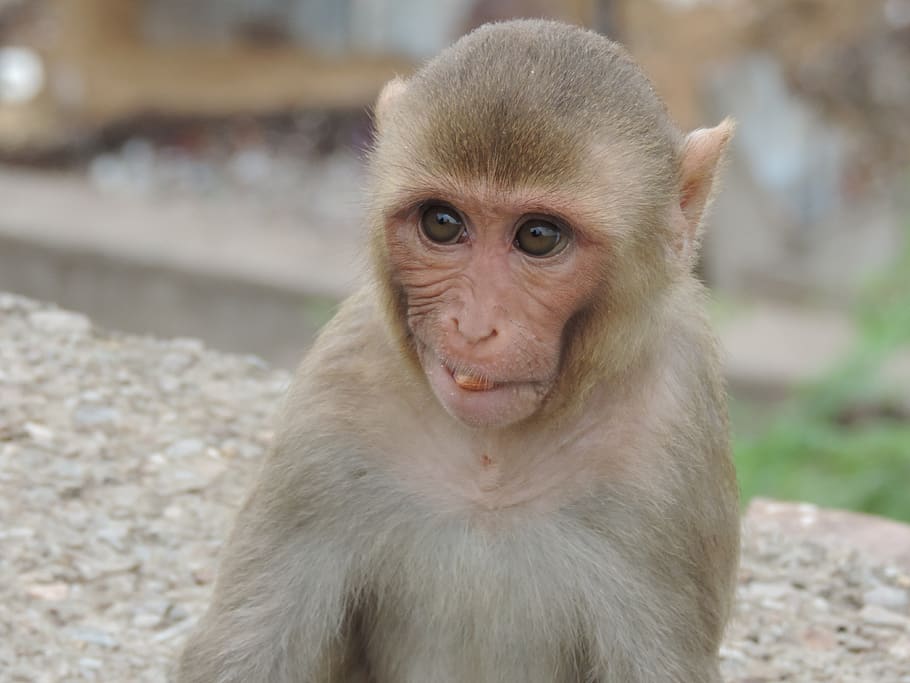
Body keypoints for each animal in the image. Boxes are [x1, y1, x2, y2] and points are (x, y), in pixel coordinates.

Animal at [176, 19, 740, 683]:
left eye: (539, 236)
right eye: (442, 223)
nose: (473, 327)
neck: (489, 463)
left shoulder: (671, 437)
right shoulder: (337, 393)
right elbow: (251, 648)